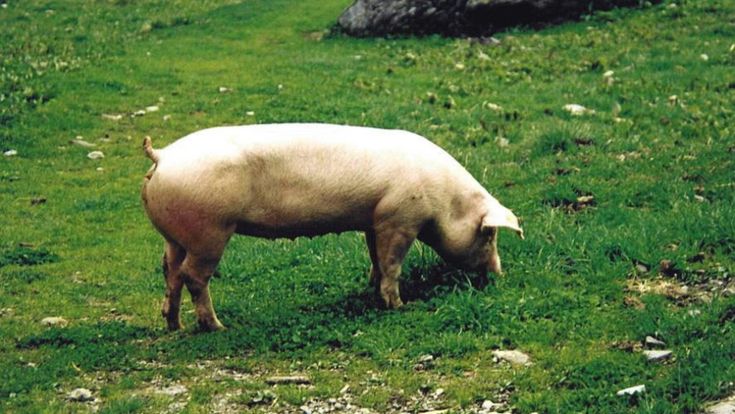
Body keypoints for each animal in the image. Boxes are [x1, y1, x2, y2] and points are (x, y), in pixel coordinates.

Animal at [141, 123, 523, 331]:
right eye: (489, 233)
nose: (500, 274)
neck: (443, 199)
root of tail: (163, 156)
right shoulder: (399, 218)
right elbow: (393, 264)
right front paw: (398, 305)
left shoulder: (374, 220)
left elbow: (375, 258)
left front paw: (370, 286)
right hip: (210, 232)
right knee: (193, 276)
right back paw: (217, 326)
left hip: (176, 237)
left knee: (170, 271)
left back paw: (174, 324)